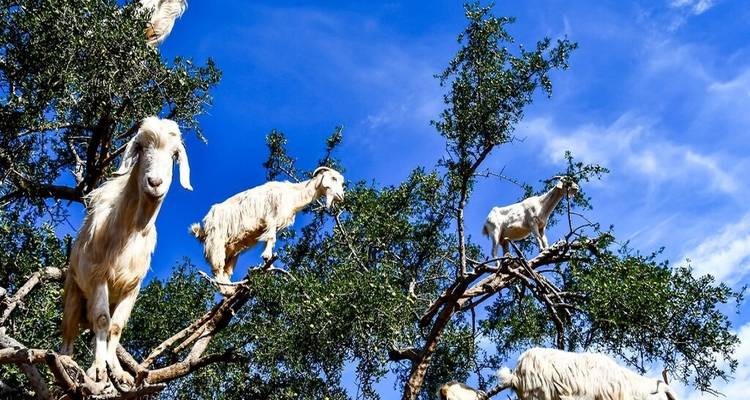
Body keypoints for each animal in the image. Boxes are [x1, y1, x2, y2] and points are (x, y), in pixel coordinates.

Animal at [61, 117, 192, 384]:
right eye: (140, 147)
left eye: (174, 154)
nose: (155, 183)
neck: (130, 231)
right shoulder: (98, 276)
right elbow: (102, 320)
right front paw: (97, 370)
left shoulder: (132, 286)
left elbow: (116, 326)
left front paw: (117, 372)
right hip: (74, 291)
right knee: (68, 336)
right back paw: (68, 365)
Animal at [190, 167, 345, 295]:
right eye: (333, 178)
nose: (341, 196)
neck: (292, 194)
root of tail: (205, 226)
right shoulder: (271, 217)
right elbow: (271, 238)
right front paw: (267, 257)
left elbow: (269, 239)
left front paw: (269, 263)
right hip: (217, 241)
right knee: (217, 268)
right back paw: (227, 291)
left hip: (232, 249)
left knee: (226, 271)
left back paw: (231, 289)